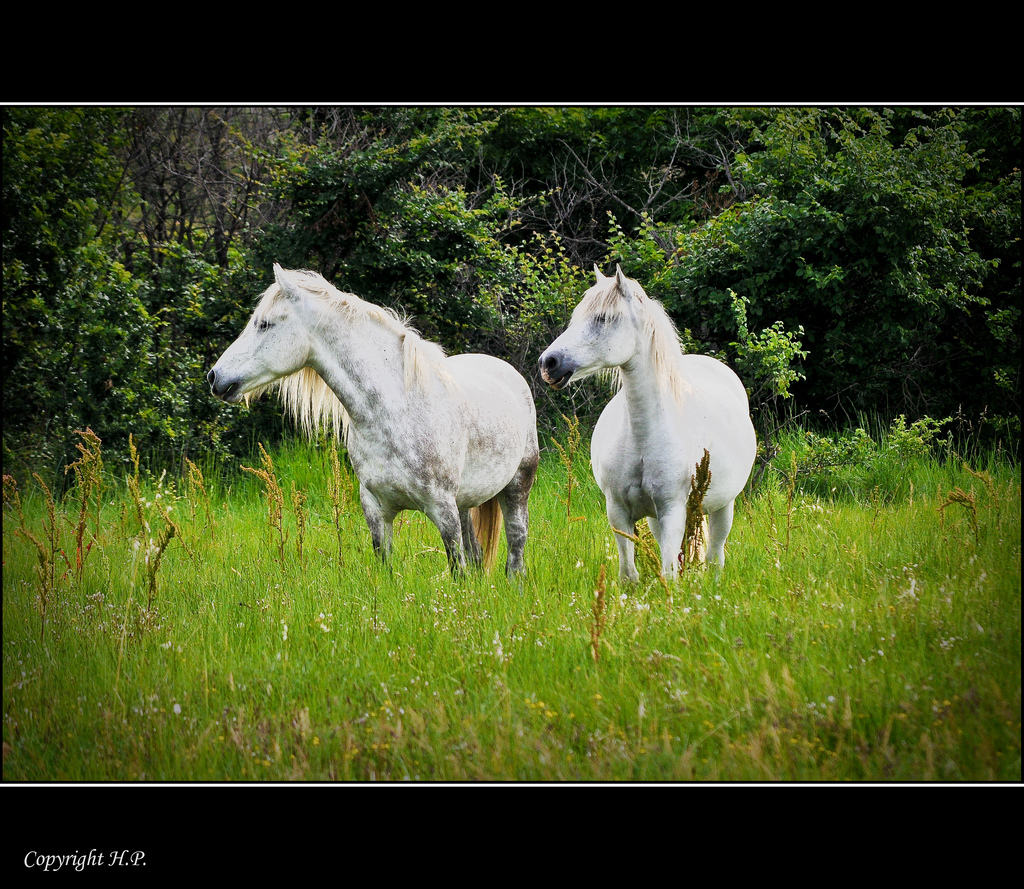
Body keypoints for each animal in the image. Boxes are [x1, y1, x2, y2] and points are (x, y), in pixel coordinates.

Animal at [210, 264, 540, 577]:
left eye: (264, 324)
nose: (215, 377)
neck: (396, 413)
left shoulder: (442, 508)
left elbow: (457, 570)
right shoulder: (376, 510)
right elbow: (387, 567)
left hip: (517, 488)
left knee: (516, 553)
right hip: (465, 503)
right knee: (477, 555)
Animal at [540, 268, 757, 581]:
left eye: (603, 318)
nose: (549, 362)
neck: (642, 436)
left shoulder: (672, 511)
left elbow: (669, 573)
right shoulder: (619, 512)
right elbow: (629, 575)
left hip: (723, 507)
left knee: (715, 558)